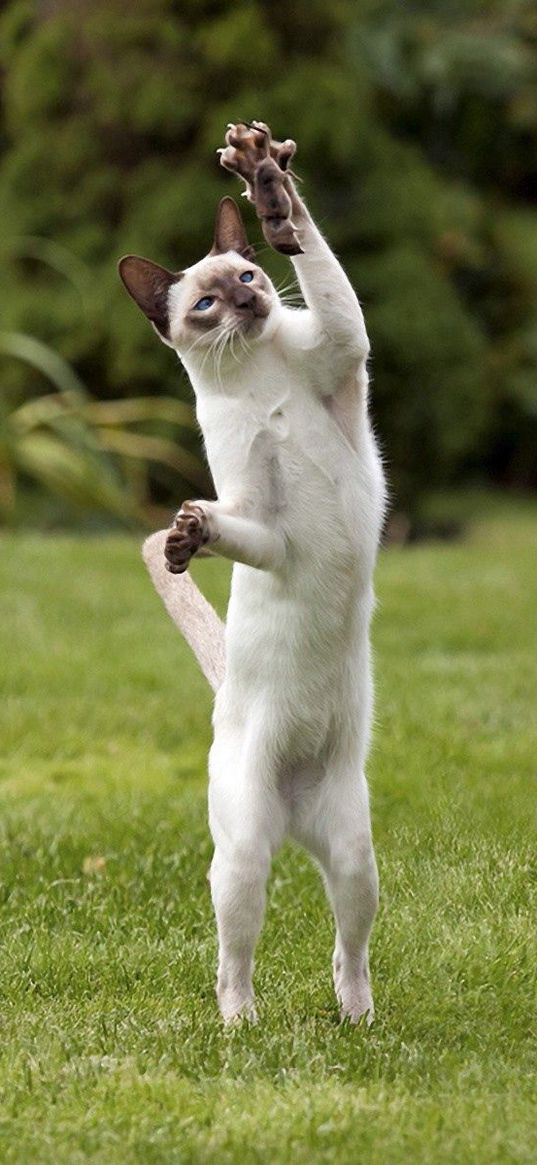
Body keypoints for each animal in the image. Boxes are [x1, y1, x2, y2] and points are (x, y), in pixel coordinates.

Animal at [118, 122, 384, 1025]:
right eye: (202, 306)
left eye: (247, 276)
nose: (245, 304)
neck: (257, 374)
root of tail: (293, 820)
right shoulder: (260, 518)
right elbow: (223, 524)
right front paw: (184, 536)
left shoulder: (343, 354)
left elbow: (322, 268)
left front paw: (268, 186)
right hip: (242, 862)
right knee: (233, 958)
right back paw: (241, 1027)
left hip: (355, 858)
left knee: (347, 947)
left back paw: (357, 1018)